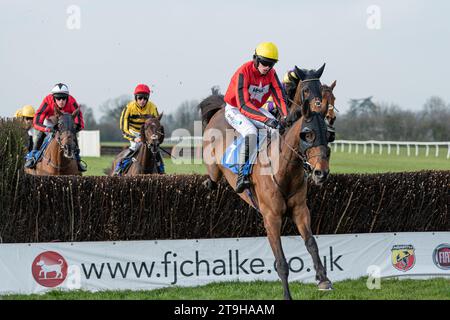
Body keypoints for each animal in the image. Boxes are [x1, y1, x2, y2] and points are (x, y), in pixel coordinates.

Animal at [202, 63, 332, 298]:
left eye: (327, 135)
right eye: (307, 134)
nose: (321, 173)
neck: (284, 170)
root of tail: (219, 110)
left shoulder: (300, 210)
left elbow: (311, 242)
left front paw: (323, 278)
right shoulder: (271, 218)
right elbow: (281, 262)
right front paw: (287, 295)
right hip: (216, 160)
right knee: (213, 176)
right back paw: (210, 183)